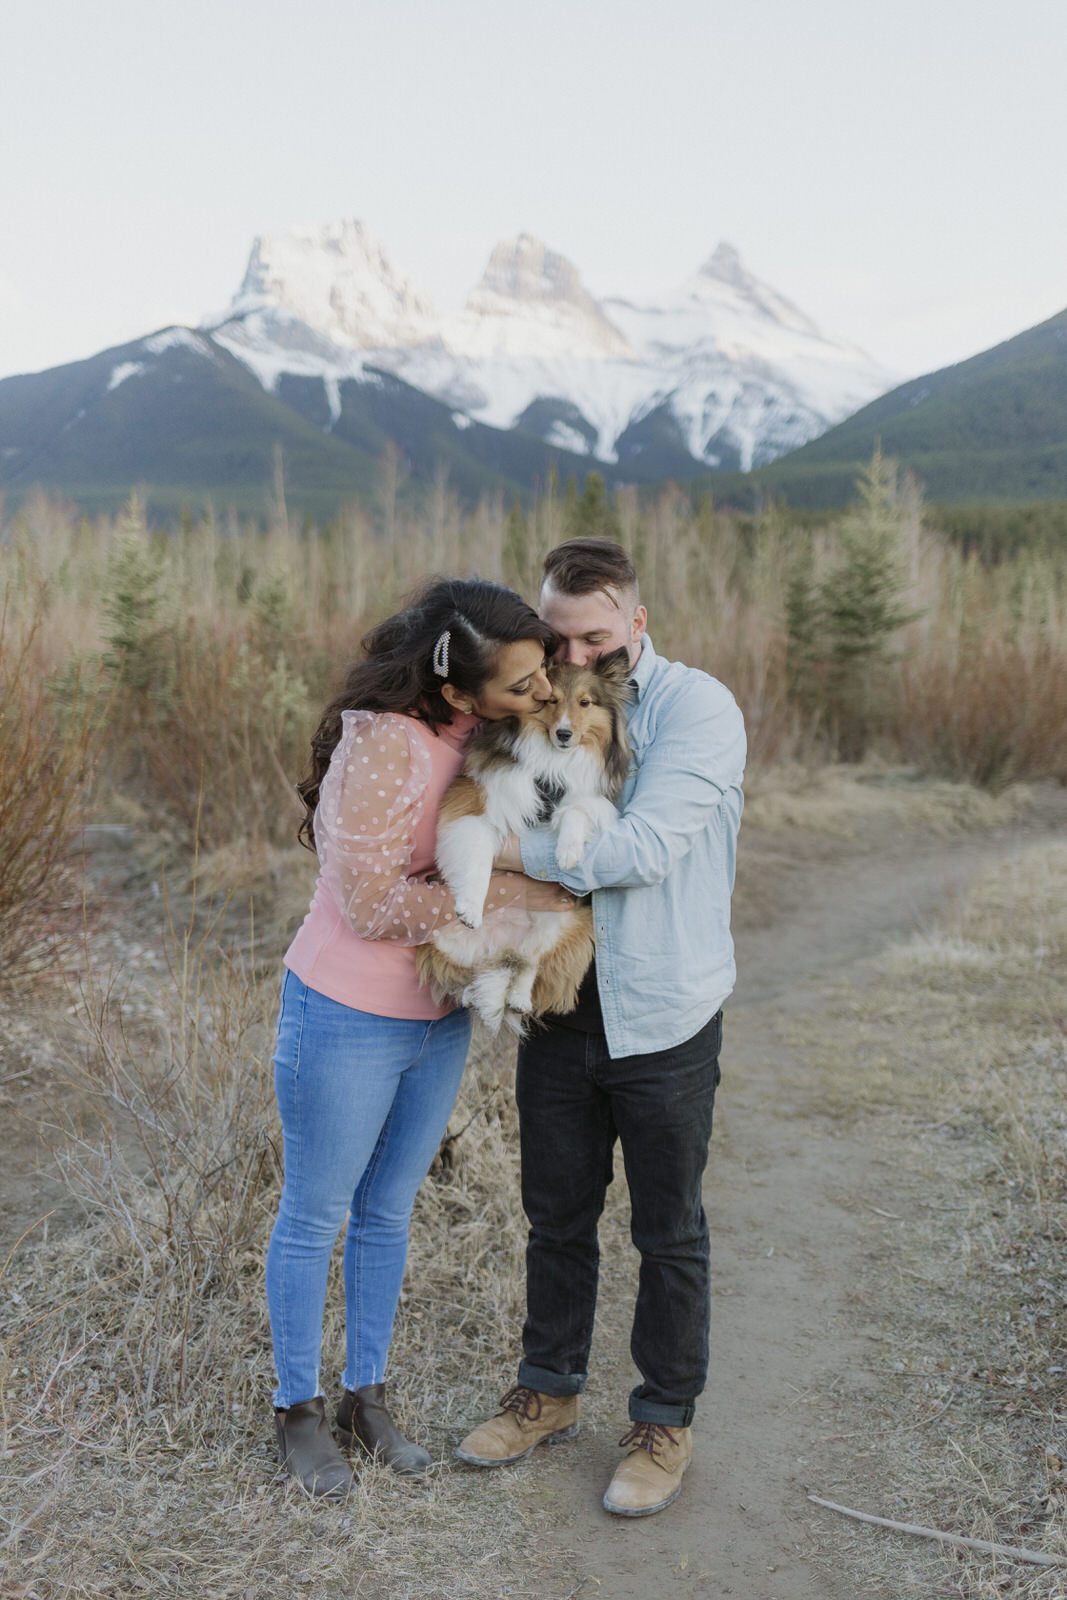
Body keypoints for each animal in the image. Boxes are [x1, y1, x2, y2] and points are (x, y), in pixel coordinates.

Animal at [415, 649, 633, 1036]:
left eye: (585, 702)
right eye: (550, 701)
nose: (564, 734)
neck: (555, 763)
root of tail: (499, 945)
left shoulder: (598, 802)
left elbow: (577, 811)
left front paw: (567, 851)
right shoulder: (474, 803)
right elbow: (477, 857)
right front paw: (471, 907)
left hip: (566, 923)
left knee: (527, 962)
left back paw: (517, 996)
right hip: (438, 937)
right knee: (470, 974)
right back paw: (476, 990)